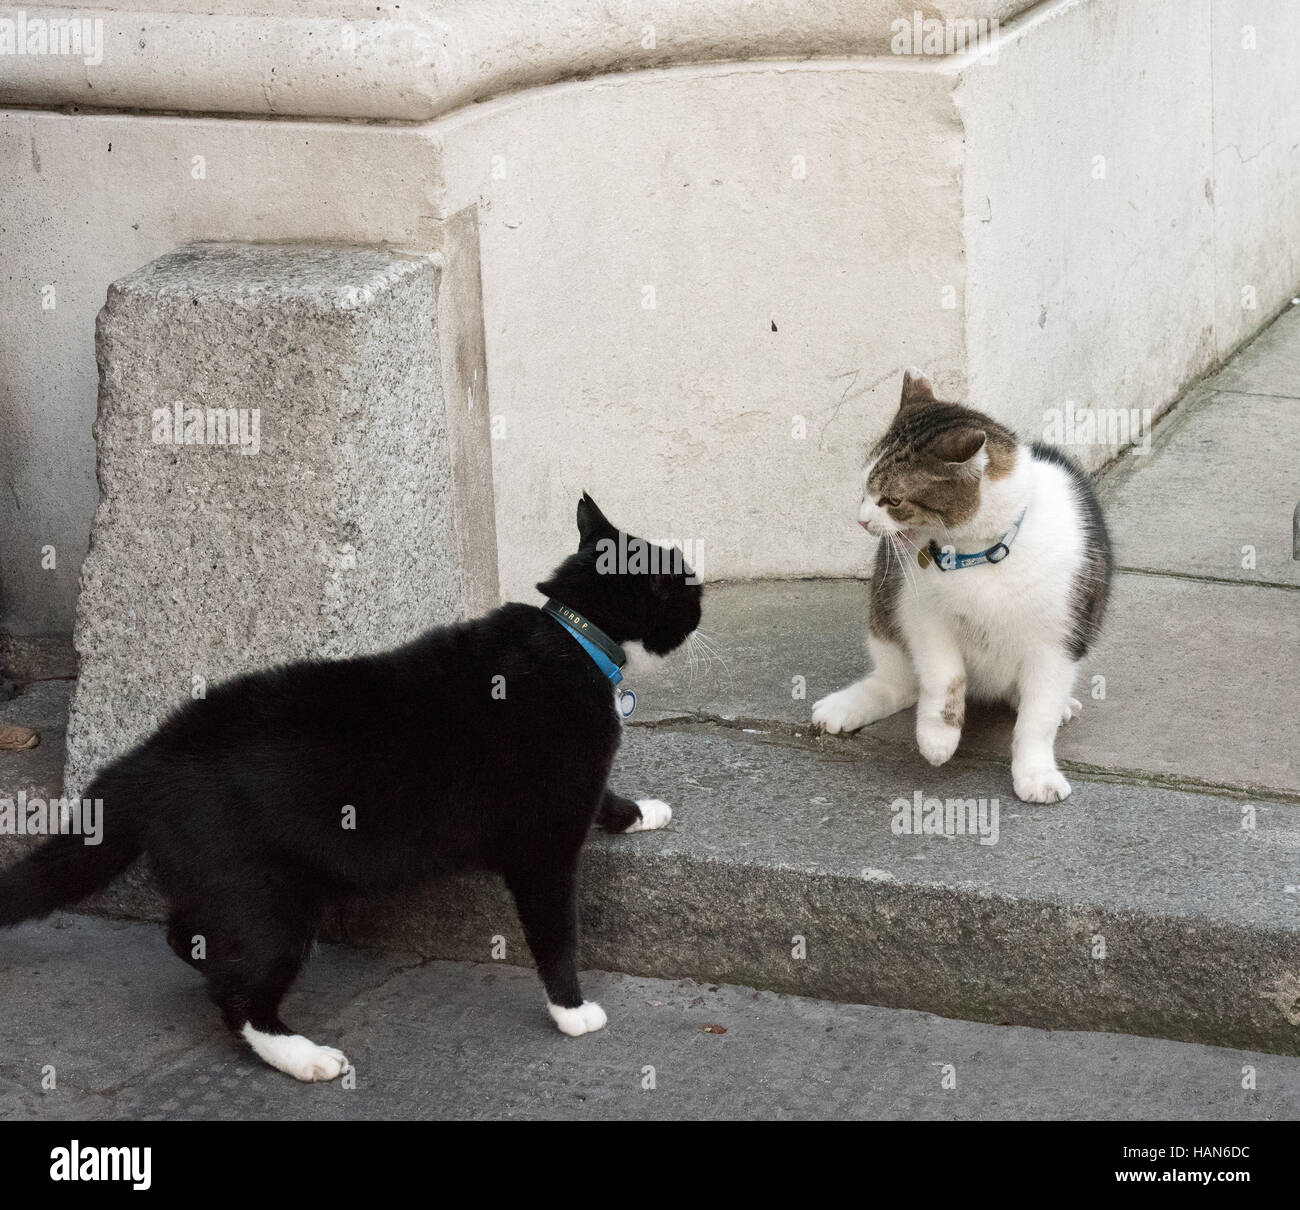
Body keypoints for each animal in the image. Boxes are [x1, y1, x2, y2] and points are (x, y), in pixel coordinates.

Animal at [0, 496, 702, 1081]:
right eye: (687, 583)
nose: (701, 605)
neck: (577, 636)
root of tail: (149, 756)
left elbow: (605, 799)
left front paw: (644, 811)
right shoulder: (543, 848)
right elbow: (557, 933)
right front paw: (571, 1010)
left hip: (223, 880)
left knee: (188, 937)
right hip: (267, 895)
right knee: (238, 997)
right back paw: (302, 1054)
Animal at [811, 369, 1107, 805]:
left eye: (892, 500)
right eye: (864, 490)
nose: (862, 520)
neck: (978, 554)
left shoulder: (1058, 641)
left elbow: (1037, 719)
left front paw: (1035, 772)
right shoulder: (923, 614)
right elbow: (944, 676)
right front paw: (938, 737)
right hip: (885, 606)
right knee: (899, 684)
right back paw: (851, 704)